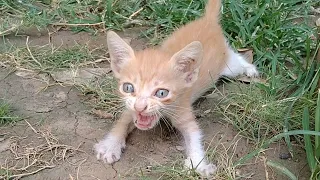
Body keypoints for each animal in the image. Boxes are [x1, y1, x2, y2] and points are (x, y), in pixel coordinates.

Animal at [94, 0, 258, 177]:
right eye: (128, 87)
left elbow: (194, 135)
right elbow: (123, 121)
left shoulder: (183, 110)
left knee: (236, 60)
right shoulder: (129, 107)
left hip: (227, 66)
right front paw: (110, 145)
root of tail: (208, 20)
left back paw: (249, 69)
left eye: (161, 93)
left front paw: (197, 163)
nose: (140, 107)